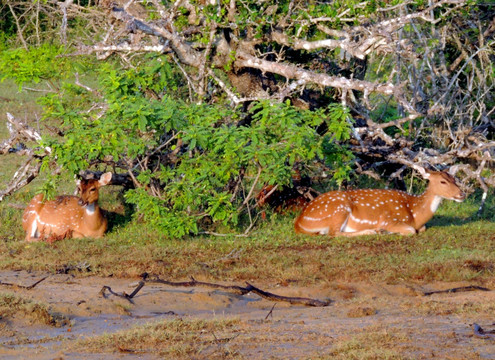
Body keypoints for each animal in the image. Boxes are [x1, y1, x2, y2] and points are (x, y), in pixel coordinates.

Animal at [296, 171, 466, 238]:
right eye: (443, 181)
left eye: (454, 178)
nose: (462, 194)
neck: (414, 212)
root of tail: (299, 221)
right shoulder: (388, 219)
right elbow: (411, 230)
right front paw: (385, 231)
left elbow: (421, 229)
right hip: (339, 209)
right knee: (334, 233)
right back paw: (373, 231)